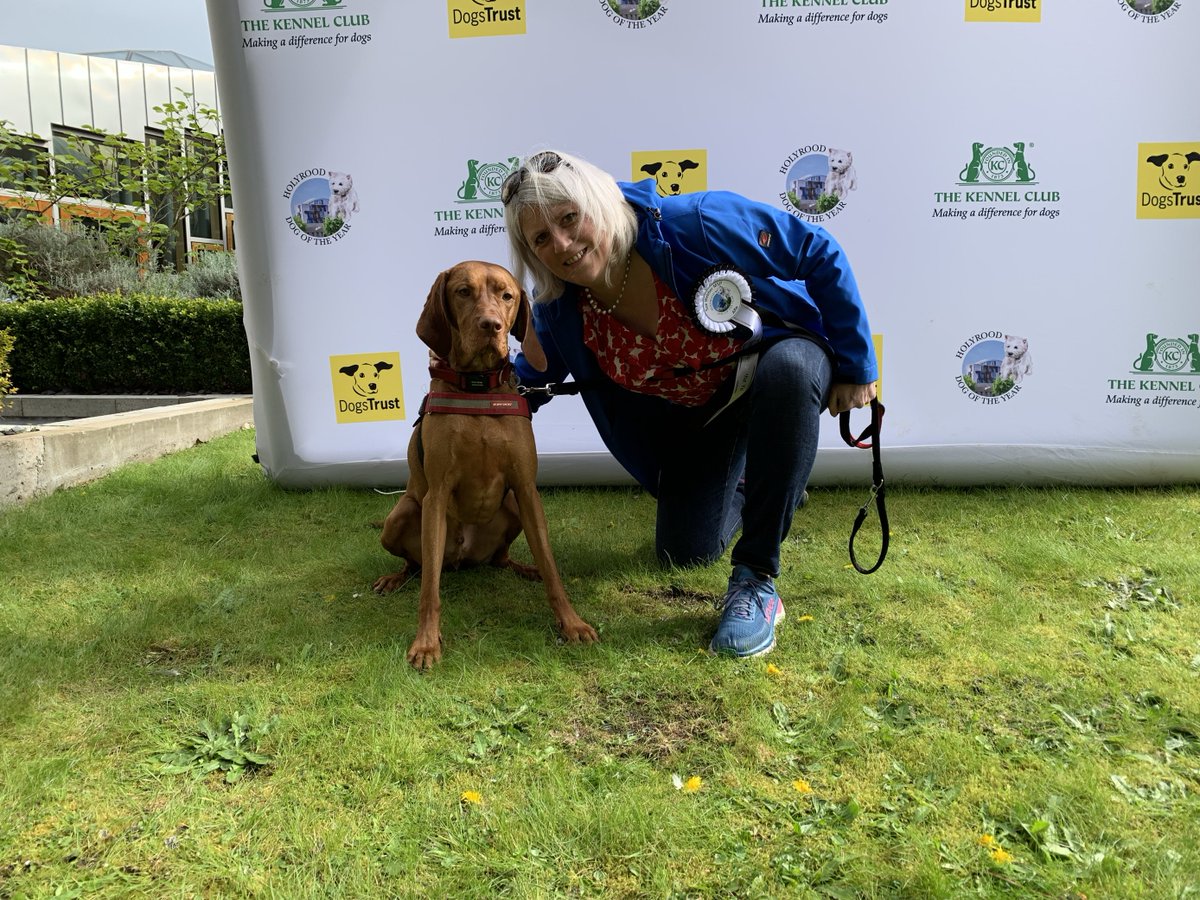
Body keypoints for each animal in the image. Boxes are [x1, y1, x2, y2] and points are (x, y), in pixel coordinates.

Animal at [372, 260, 597, 672]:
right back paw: (395, 578)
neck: (477, 387)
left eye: (507, 296)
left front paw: (571, 622)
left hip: (510, 508)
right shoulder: (436, 495)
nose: (491, 325)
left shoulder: (526, 489)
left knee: (500, 559)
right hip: (403, 513)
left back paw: (524, 568)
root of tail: (463, 558)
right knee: (418, 566)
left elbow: (552, 568)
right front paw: (426, 643)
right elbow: (429, 589)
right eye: (463, 291)